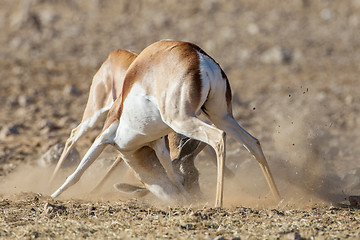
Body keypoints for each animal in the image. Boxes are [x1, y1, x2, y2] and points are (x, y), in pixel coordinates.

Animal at [51, 40, 282, 207]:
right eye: (189, 179)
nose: (195, 198)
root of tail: (200, 57)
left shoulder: (106, 137)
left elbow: (76, 174)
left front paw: (53, 196)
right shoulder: (156, 144)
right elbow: (169, 171)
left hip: (181, 119)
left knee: (218, 138)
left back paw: (218, 204)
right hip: (221, 116)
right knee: (253, 142)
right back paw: (278, 198)